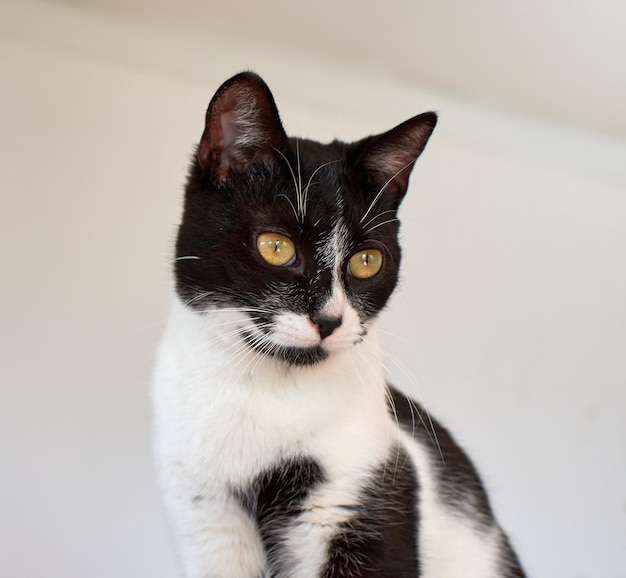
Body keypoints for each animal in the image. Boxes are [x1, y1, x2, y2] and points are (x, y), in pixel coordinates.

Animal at [151, 72, 520, 576]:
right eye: (276, 247)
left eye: (367, 261)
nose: (329, 319)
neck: (264, 395)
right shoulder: (205, 513)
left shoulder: (369, 485)